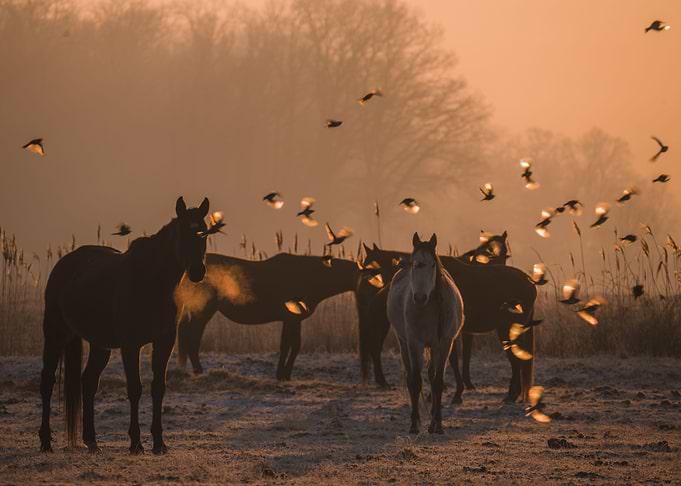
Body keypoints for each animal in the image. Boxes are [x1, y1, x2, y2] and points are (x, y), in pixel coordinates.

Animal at [39, 197, 209, 454]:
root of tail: (64, 265)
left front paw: (159, 443)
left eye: (205, 233)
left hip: (99, 345)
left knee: (88, 382)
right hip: (56, 333)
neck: (152, 282)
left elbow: (158, 388)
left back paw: (92, 441)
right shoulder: (131, 345)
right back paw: (46, 441)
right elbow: (135, 389)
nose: (198, 272)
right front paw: (136, 443)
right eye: (182, 232)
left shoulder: (165, 341)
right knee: (48, 380)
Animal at [175, 253, 359, 380]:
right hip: (203, 308)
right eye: (355, 271)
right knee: (191, 337)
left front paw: (283, 374)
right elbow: (290, 345)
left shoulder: (292, 318)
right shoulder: (291, 316)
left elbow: (291, 345)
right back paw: (198, 370)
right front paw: (283, 375)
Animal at [360, 239, 536, 404]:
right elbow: (453, 360)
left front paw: (452, 393)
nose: (364, 289)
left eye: (371, 266)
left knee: (516, 360)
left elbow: (452, 360)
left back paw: (512, 394)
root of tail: (529, 282)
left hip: (506, 329)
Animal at [387, 233, 464, 434]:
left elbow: (437, 382)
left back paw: (432, 423)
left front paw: (438, 424)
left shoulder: (444, 345)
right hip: (404, 344)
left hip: (434, 347)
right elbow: (415, 382)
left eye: (432, 265)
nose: (420, 298)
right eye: (415, 264)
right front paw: (414, 424)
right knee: (410, 378)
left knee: (431, 376)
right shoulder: (415, 344)